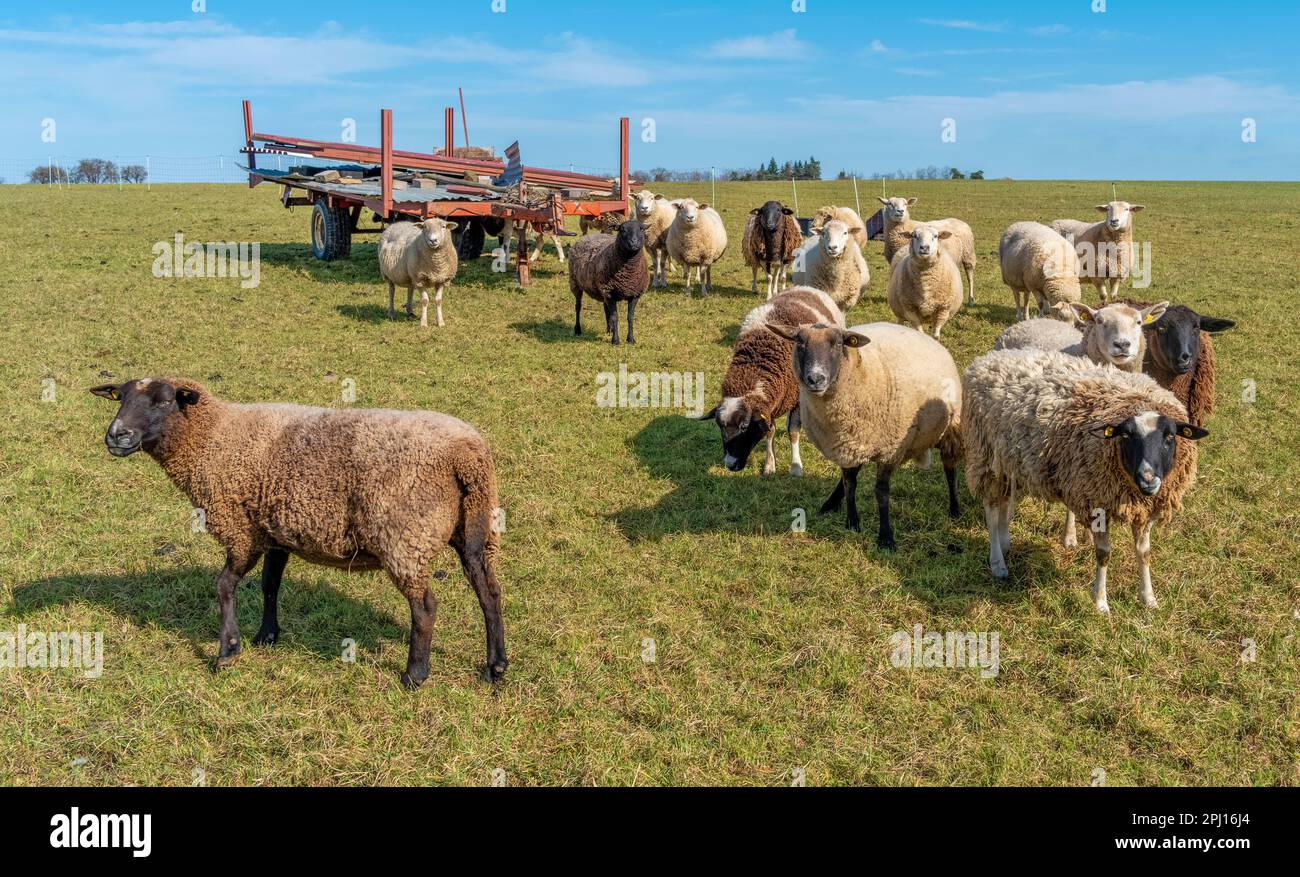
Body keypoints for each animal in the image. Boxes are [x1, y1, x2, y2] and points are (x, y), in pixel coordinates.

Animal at [691, 285, 842, 478]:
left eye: (744, 426)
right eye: (719, 426)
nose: (730, 464)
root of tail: (806, 287)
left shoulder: (796, 399)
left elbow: (794, 432)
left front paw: (796, 466)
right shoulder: (770, 407)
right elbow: (770, 431)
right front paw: (770, 465)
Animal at [759, 319, 967, 553]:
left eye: (837, 343)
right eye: (800, 342)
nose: (815, 378)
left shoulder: (890, 450)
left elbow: (881, 492)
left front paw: (885, 538)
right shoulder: (844, 444)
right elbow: (850, 484)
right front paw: (852, 522)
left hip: (950, 430)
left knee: (950, 470)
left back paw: (955, 509)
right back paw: (830, 503)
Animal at [961, 348, 1211, 610]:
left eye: (1170, 436)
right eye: (1127, 436)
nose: (1148, 479)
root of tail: (989, 358)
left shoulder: (1144, 508)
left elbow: (1144, 553)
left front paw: (1149, 598)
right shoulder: (1097, 502)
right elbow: (1104, 554)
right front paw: (1100, 602)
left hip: (1008, 463)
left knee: (1005, 503)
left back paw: (1005, 542)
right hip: (985, 457)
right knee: (991, 510)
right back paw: (998, 563)